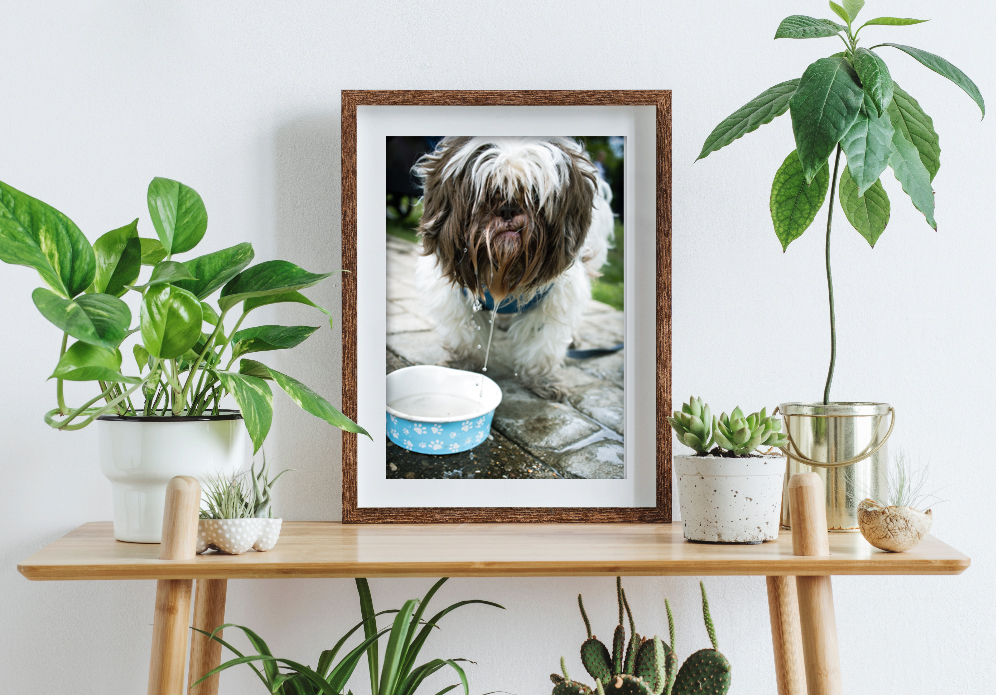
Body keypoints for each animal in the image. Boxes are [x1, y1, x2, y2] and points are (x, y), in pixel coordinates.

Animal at [412, 137, 616, 396]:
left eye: (534, 195)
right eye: (488, 192)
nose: (508, 208)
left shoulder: (554, 296)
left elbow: (543, 341)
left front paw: (542, 378)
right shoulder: (457, 293)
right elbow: (464, 332)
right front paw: (462, 363)